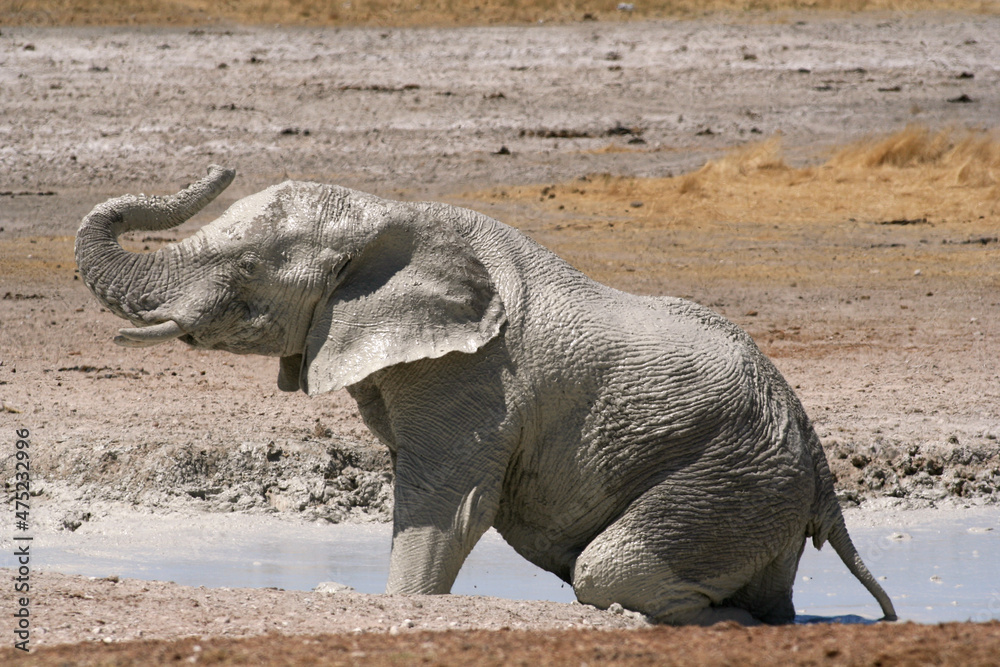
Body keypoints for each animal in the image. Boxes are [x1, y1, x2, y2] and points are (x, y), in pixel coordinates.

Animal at [75, 165, 896, 625]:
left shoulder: (475, 379)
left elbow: (446, 500)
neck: (391, 215)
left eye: (248, 269)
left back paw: (705, 620)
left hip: (737, 474)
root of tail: (819, 461)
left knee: (611, 570)